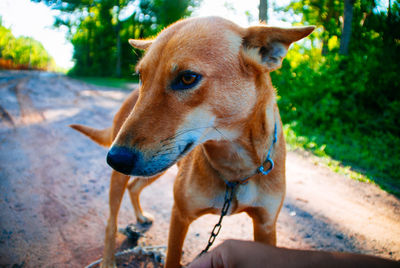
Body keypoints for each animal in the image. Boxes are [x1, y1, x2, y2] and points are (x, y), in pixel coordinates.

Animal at [70, 17, 314, 268]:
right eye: (140, 76)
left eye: (188, 78)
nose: (115, 158)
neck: (235, 170)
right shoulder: (180, 216)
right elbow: (172, 257)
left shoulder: (266, 226)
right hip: (129, 176)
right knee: (111, 221)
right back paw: (108, 260)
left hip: (156, 168)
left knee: (134, 186)